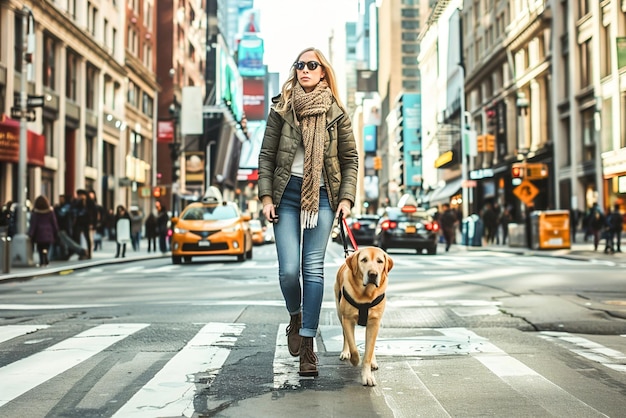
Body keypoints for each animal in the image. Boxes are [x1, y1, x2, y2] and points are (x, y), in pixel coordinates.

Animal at [334, 247, 392, 386]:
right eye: (364, 260)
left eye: (380, 261)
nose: (373, 274)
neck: (366, 294)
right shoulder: (347, 320)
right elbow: (354, 347)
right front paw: (355, 360)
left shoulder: (374, 323)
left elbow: (368, 351)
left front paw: (367, 375)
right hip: (339, 313)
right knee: (345, 336)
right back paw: (345, 352)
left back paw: (373, 361)